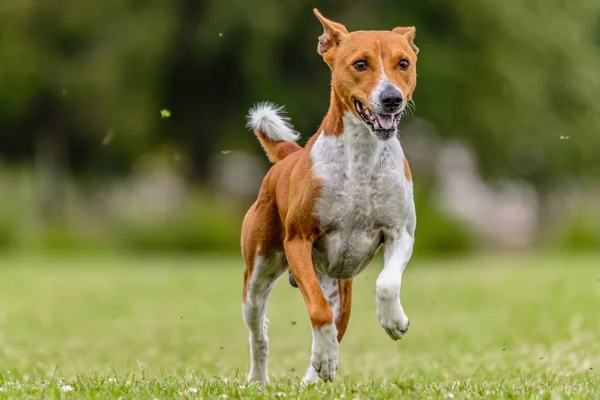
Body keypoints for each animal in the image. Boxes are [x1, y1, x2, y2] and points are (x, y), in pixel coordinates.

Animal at [239, 8, 418, 384]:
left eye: (404, 63)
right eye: (361, 64)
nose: (391, 98)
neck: (361, 158)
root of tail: (289, 158)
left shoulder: (400, 232)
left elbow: (386, 282)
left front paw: (394, 321)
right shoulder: (298, 240)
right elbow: (318, 312)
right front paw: (324, 355)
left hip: (339, 285)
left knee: (338, 322)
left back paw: (314, 374)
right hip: (259, 271)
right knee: (260, 329)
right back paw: (260, 379)